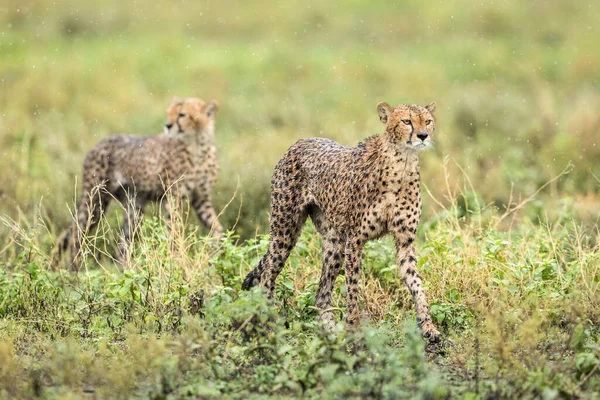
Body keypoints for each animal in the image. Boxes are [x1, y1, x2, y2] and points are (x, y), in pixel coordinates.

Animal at [52, 97, 223, 268]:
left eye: (182, 114)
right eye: (169, 113)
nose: (167, 125)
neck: (197, 145)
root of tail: (98, 143)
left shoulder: (200, 199)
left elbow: (217, 226)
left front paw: (218, 247)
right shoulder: (173, 198)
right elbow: (173, 230)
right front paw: (176, 259)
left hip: (134, 206)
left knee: (122, 246)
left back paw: (125, 270)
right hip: (95, 200)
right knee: (76, 233)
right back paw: (75, 270)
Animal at [241, 101, 442, 342]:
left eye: (427, 121)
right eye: (406, 121)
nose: (422, 136)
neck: (402, 162)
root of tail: (300, 141)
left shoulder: (405, 242)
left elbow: (416, 284)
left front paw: (428, 326)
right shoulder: (355, 240)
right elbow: (353, 287)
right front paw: (353, 329)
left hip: (334, 243)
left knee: (321, 294)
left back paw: (329, 334)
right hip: (285, 231)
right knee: (266, 278)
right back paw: (270, 327)